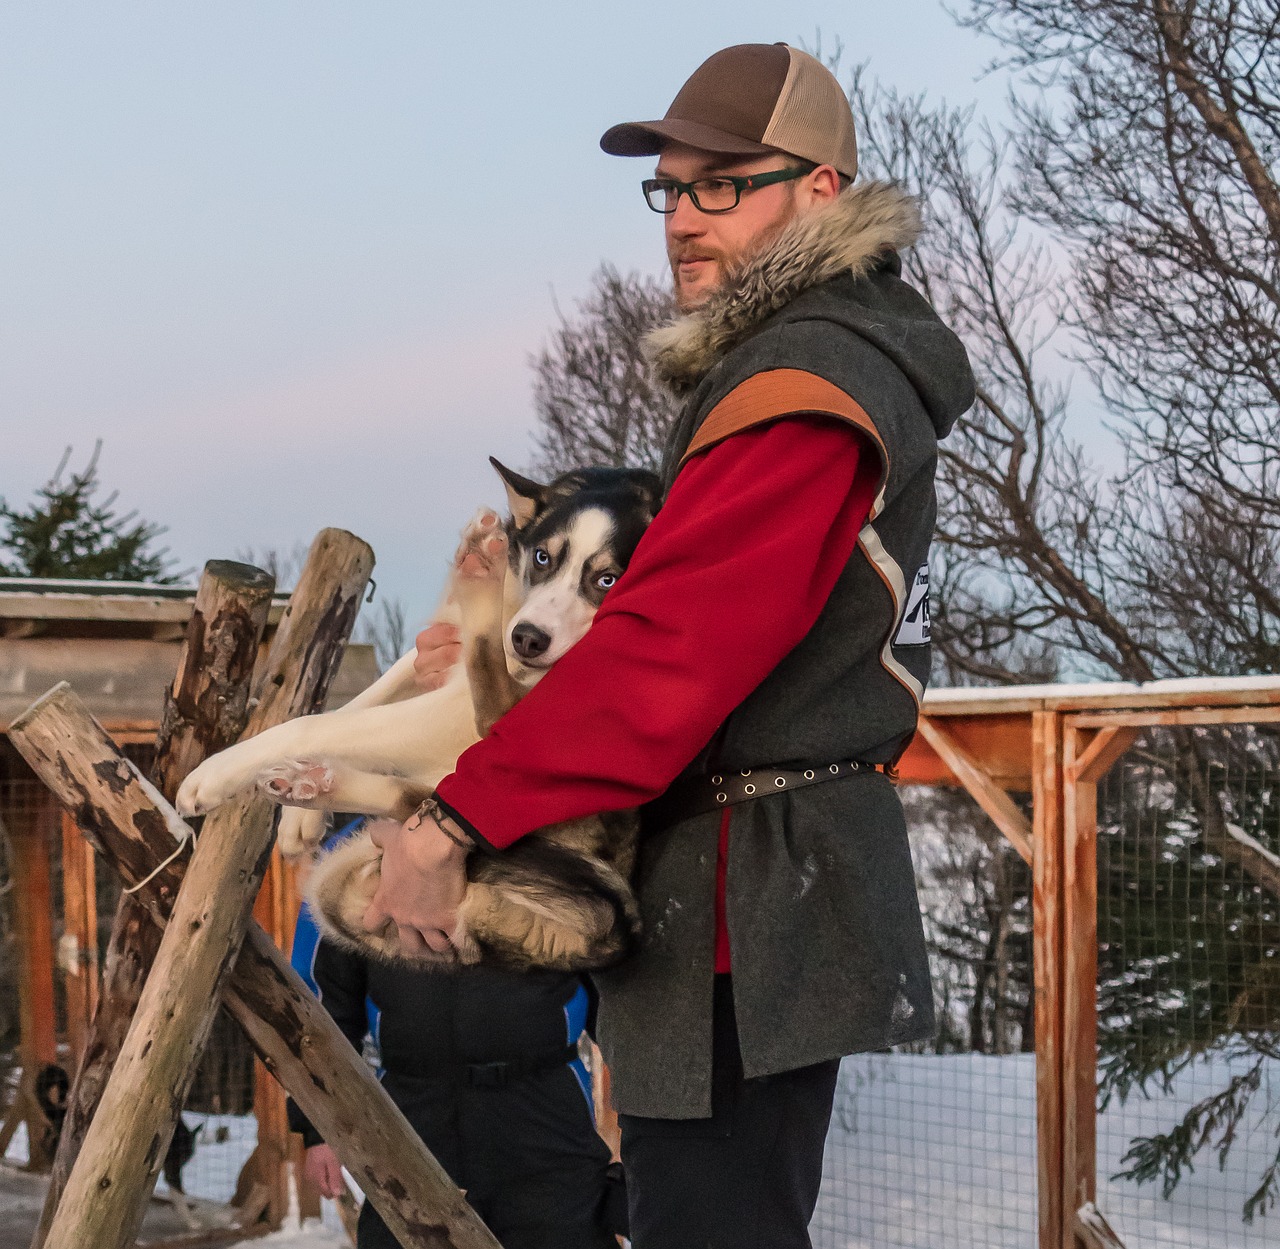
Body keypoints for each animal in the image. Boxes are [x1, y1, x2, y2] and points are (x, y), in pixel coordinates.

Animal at [177, 460, 660, 977]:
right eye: (543, 559)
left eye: (608, 580)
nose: (528, 639)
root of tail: (614, 935)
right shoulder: (437, 653)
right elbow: (357, 704)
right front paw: (297, 820)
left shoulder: (458, 712)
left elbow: (313, 724)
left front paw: (215, 773)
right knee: (416, 798)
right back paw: (314, 785)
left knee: (477, 723)